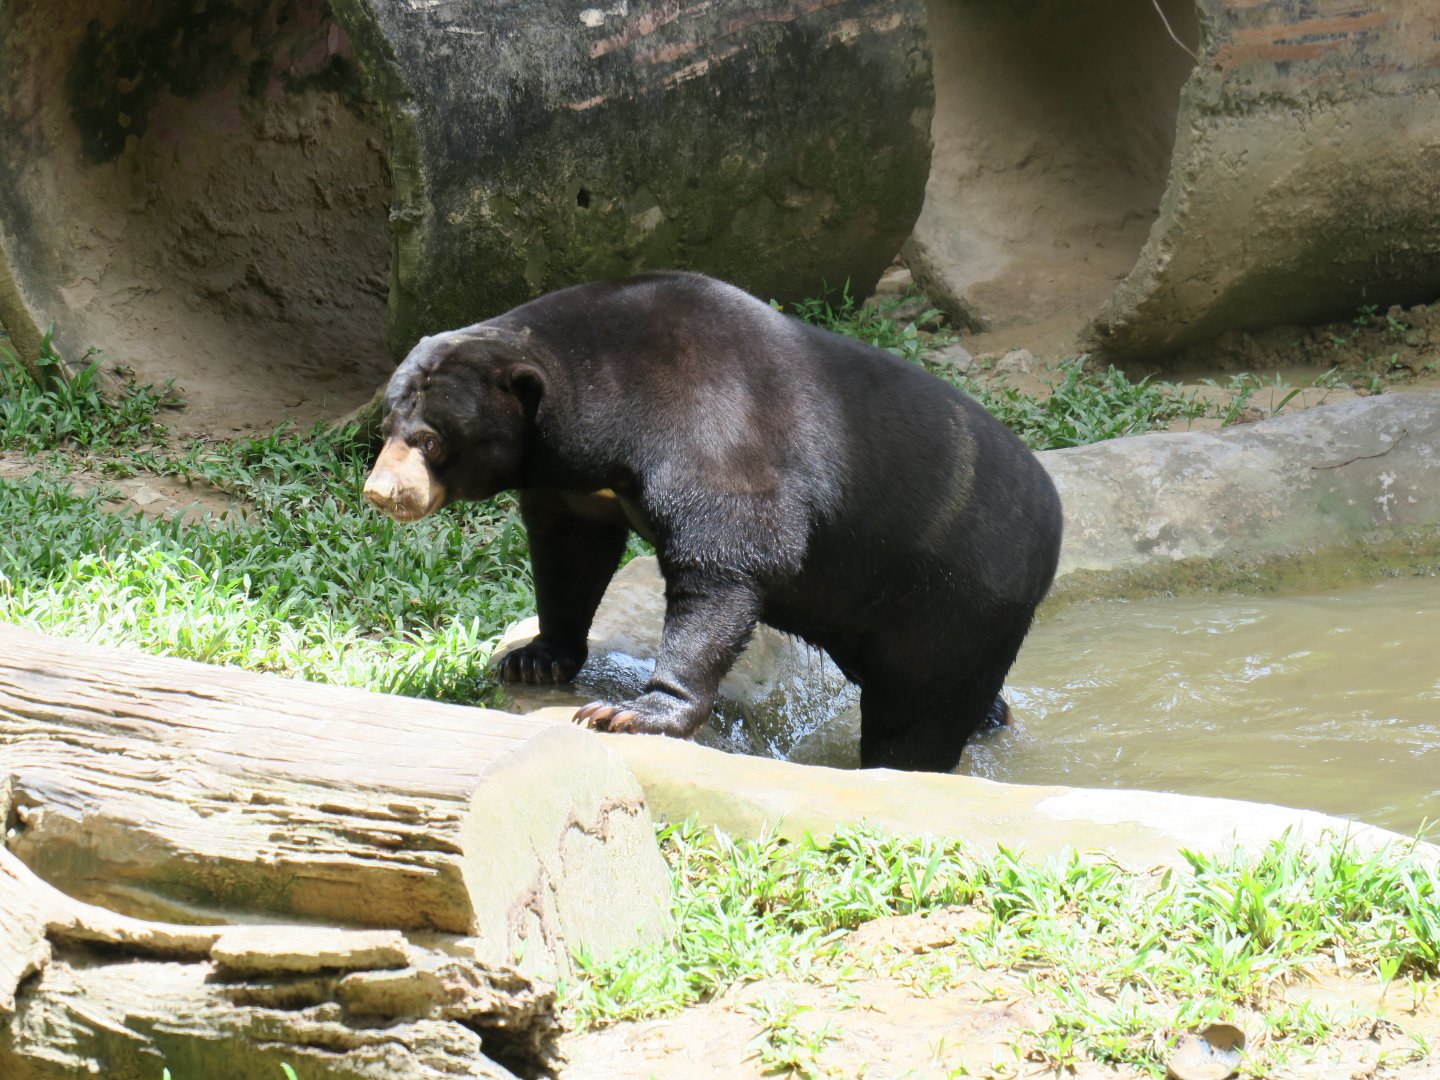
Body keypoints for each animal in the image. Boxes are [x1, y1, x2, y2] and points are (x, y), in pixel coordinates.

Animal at [362, 271, 1063, 772]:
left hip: (956, 604)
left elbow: (727, 558)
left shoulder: (714, 431)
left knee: (918, 716)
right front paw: (533, 660)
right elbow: (569, 550)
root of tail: (1051, 514)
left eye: (431, 440)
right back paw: (993, 718)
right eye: (387, 426)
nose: (381, 491)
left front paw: (629, 713)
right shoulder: (574, 484)